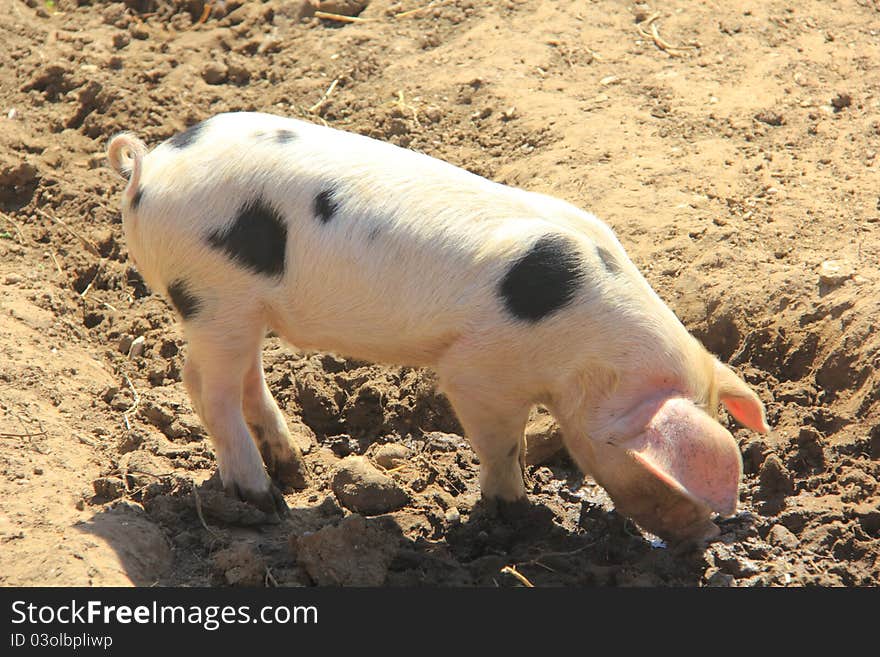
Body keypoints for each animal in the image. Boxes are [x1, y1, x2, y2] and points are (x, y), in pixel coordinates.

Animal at [108, 113, 768, 540]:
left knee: (243, 376)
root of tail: (149, 169)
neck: (589, 353)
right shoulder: (479, 372)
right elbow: (501, 440)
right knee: (204, 385)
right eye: (665, 474)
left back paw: (293, 468)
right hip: (213, 292)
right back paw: (266, 502)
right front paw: (517, 515)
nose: (699, 538)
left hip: (240, 306)